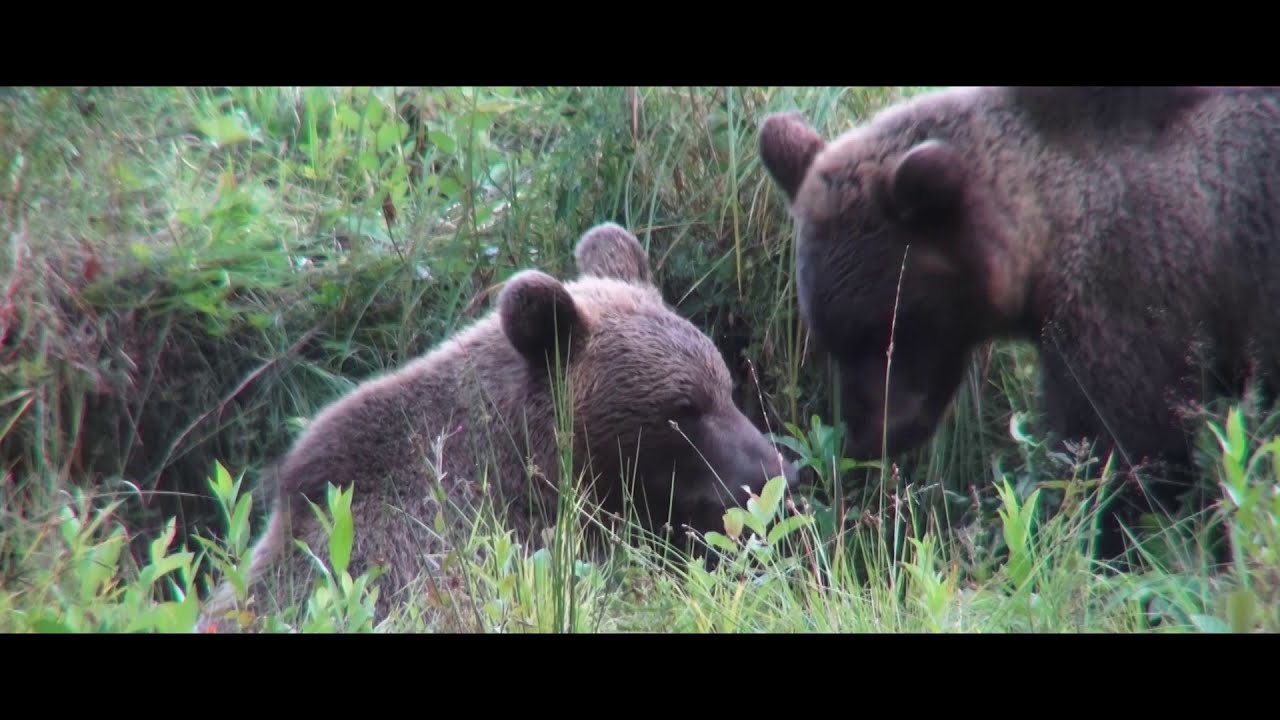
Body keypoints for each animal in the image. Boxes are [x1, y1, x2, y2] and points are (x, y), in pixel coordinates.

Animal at [757, 86, 1280, 565]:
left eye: (887, 332)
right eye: (830, 341)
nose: (866, 436)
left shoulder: (1132, 294)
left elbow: (1126, 446)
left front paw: (1104, 543)